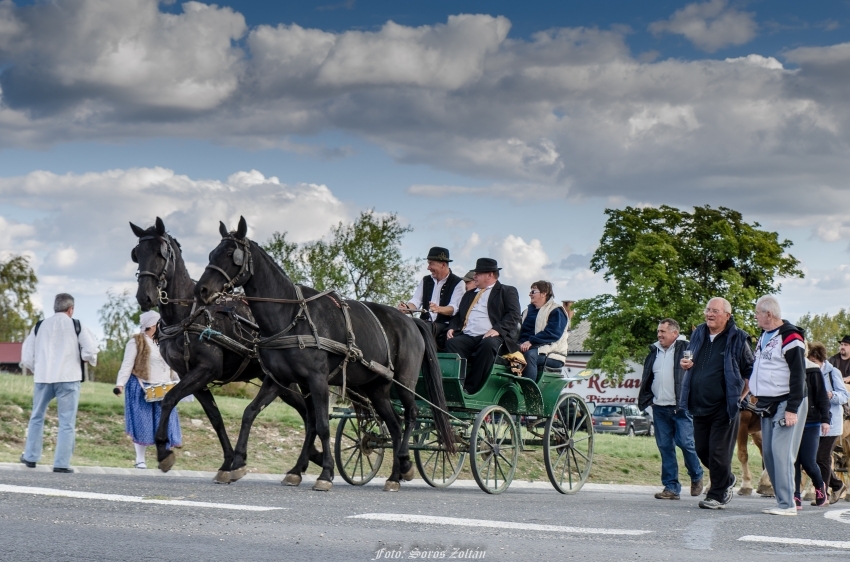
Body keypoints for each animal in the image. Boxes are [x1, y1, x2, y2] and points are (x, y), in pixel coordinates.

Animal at [131, 218, 320, 482]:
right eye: (137, 254)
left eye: (161, 253)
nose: (144, 297)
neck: (189, 314)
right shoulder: (191, 375)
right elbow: (215, 418)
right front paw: (228, 461)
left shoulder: (206, 369)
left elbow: (169, 399)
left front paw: (163, 451)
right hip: (283, 382)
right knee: (307, 414)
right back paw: (310, 459)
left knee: (311, 416)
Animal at [195, 217, 454, 488]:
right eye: (212, 253)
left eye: (230, 254)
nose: (201, 290)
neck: (291, 316)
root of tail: (411, 320)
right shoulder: (280, 380)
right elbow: (253, 414)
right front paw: (239, 464)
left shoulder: (317, 380)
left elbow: (321, 425)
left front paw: (326, 473)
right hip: (377, 387)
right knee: (394, 424)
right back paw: (395, 474)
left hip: (404, 382)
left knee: (411, 415)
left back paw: (404, 462)